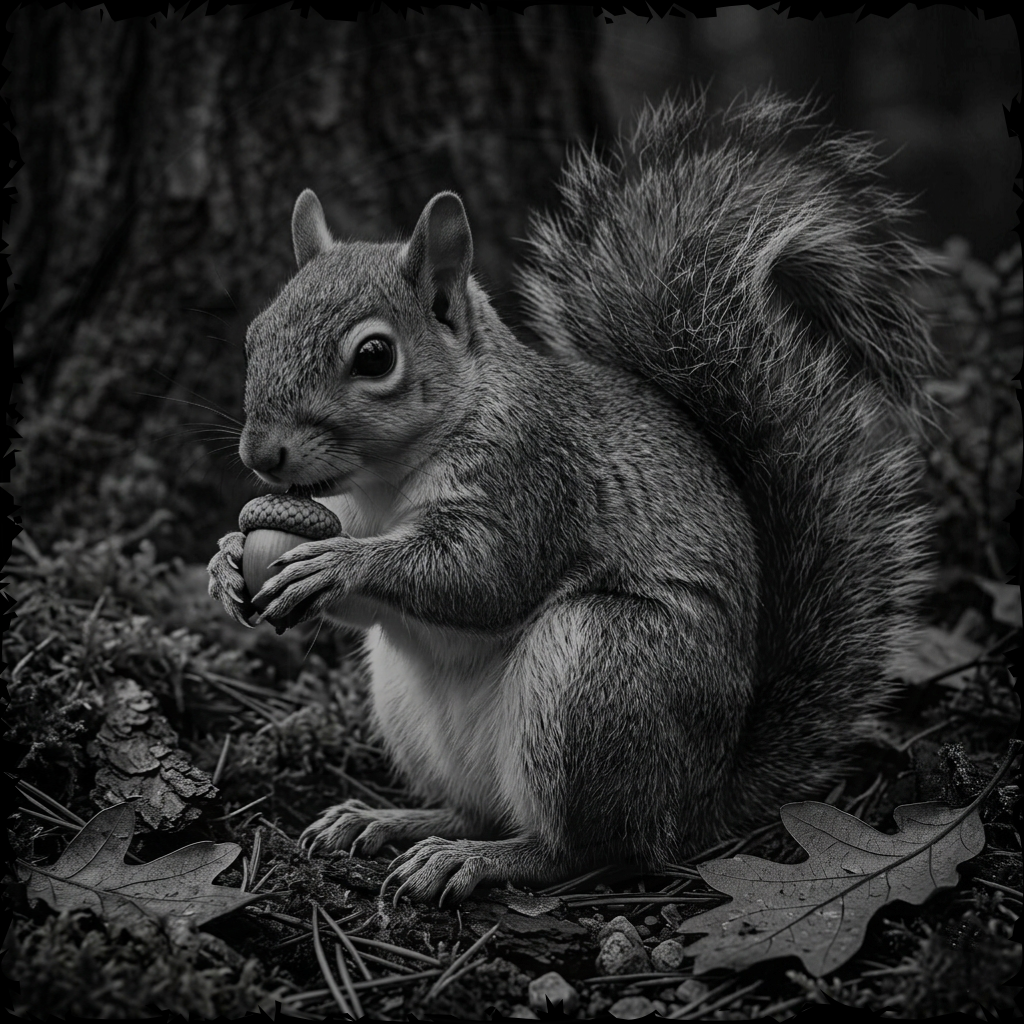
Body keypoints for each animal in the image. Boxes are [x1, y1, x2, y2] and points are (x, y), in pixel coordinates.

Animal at [208, 90, 935, 905]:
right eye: (255, 334)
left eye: (374, 356)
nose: (259, 454)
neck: (388, 480)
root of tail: (701, 800)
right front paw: (227, 561)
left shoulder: (534, 477)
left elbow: (485, 577)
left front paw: (337, 564)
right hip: (410, 706)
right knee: (478, 808)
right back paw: (390, 820)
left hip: (601, 673)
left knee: (591, 849)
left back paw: (482, 860)